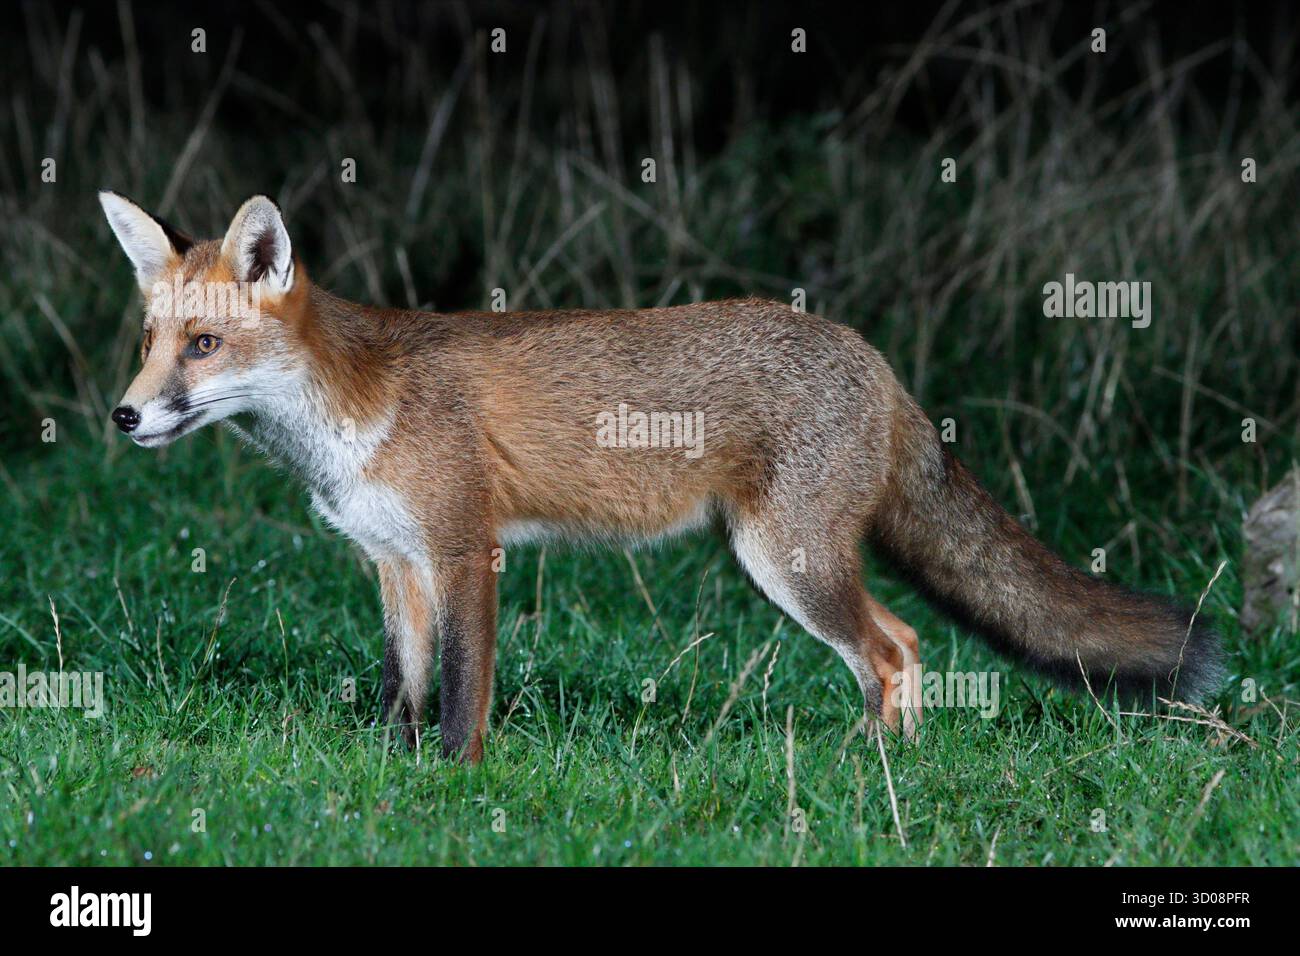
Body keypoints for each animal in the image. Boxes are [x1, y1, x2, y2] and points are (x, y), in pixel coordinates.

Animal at [99, 190, 1223, 762]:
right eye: (150, 343)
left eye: (204, 345)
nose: (124, 414)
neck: (348, 417)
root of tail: (877, 360)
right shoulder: (393, 561)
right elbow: (400, 685)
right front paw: (387, 767)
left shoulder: (466, 549)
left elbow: (461, 688)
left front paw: (454, 781)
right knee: (900, 645)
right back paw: (882, 762)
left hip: (789, 562)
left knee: (894, 647)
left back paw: (871, 769)